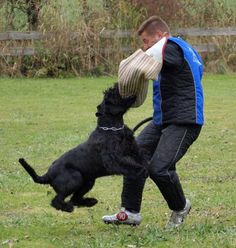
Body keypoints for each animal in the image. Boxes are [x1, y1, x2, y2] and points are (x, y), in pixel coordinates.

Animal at [18, 84, 148, 212]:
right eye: (111, 95)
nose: (117, 85)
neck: (112, 128)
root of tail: (47, 175)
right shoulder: (113, 160)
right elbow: (130, 165)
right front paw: (141, 170)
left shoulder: (133, 150)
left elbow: (140, 158)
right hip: (76, 179)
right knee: (57, 200)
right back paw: (67, 207)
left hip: (88, 182)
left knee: (74, 199)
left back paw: (90, 202)